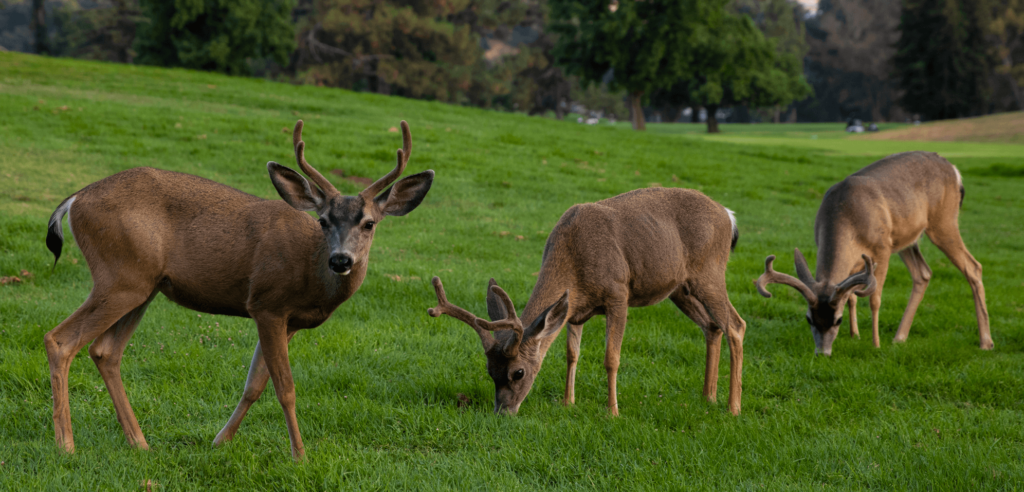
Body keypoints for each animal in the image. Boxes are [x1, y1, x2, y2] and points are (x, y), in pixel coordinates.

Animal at [38, 119, 432, 461]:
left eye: (369, 223)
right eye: (323, 221)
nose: (341, 260)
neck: (311, 274)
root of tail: (75, 199)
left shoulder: (288, 321)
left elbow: (254, 385)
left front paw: (220, 441)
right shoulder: (267, 303)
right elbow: (285, 388)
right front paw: (300, 455)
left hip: (143, 286)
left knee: (105, 351)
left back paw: (139, 443)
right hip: (121, 276)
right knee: (61, 340)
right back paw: (66, 445)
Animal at [423, 186, 745, 416]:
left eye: (518, 372)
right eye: (490, 371)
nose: (502, 412)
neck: (574, 264)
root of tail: (729, 216)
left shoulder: (618, 294)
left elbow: (611, 358)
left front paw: (612, 411)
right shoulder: (574, 311)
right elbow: (571, 354)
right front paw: (568, 402)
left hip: (709, 272)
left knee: (736, 325)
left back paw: (733, 407)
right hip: (680, 288)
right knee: (712, 327)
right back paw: (708, 397)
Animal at [757, 149, 987, 352]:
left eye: (837, 320)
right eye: (809, 318)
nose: (822, 352)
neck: (846, 214)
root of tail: (955, 170)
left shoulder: (882, 249)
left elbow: (874, 298)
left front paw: (875, 344)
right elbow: (850, 296)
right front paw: (855, 335)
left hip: (943, 221)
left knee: (973, 266)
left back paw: (985, 342)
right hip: (905, 238)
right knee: (923, 273)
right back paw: (899, 338)